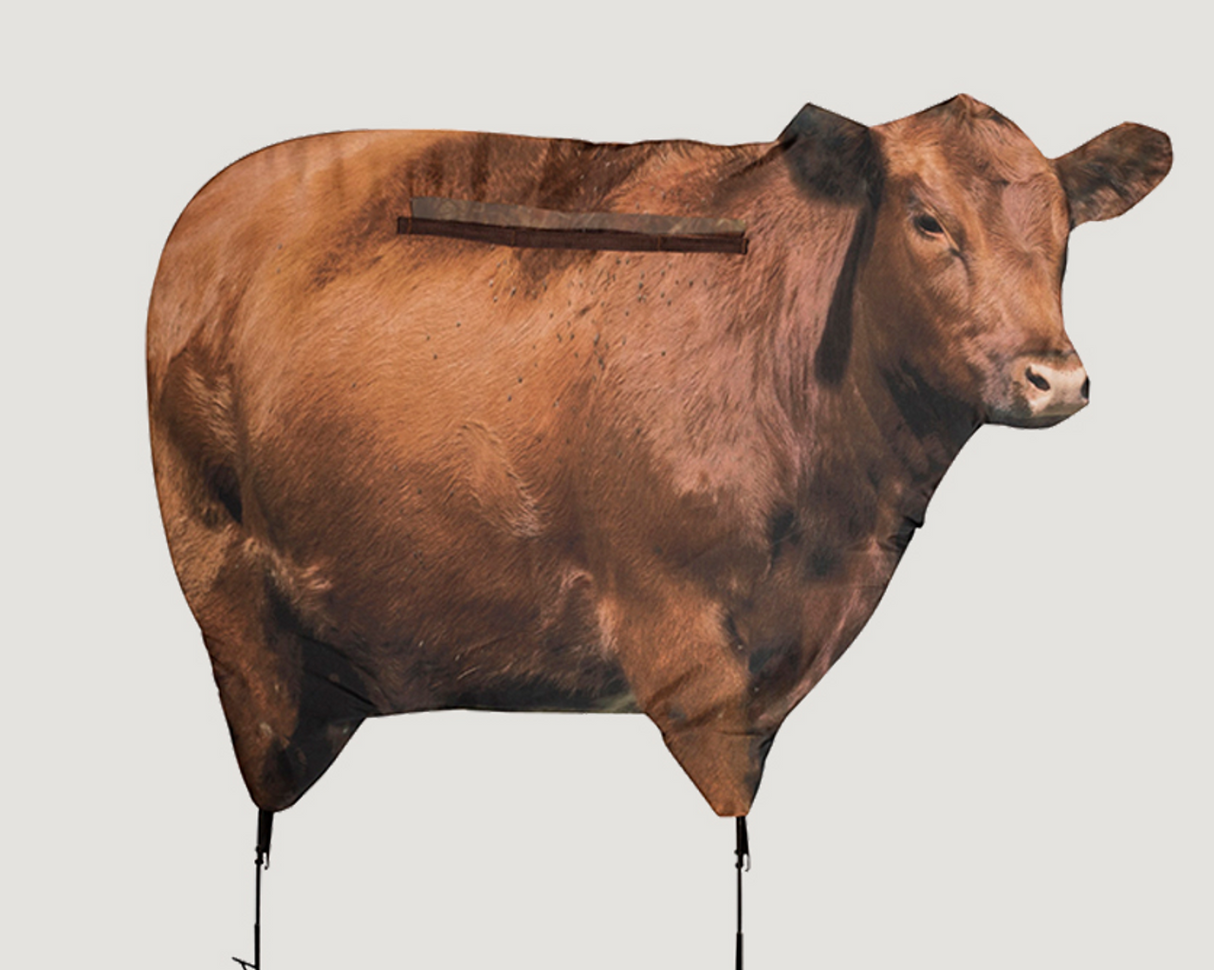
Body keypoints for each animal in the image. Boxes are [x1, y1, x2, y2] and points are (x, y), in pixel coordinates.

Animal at [148, 95, 1170, 822]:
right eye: (927, 221)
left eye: (1066, 228)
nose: (1054, 377)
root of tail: (208, 204)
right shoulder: (672, 624)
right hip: (224, 581)